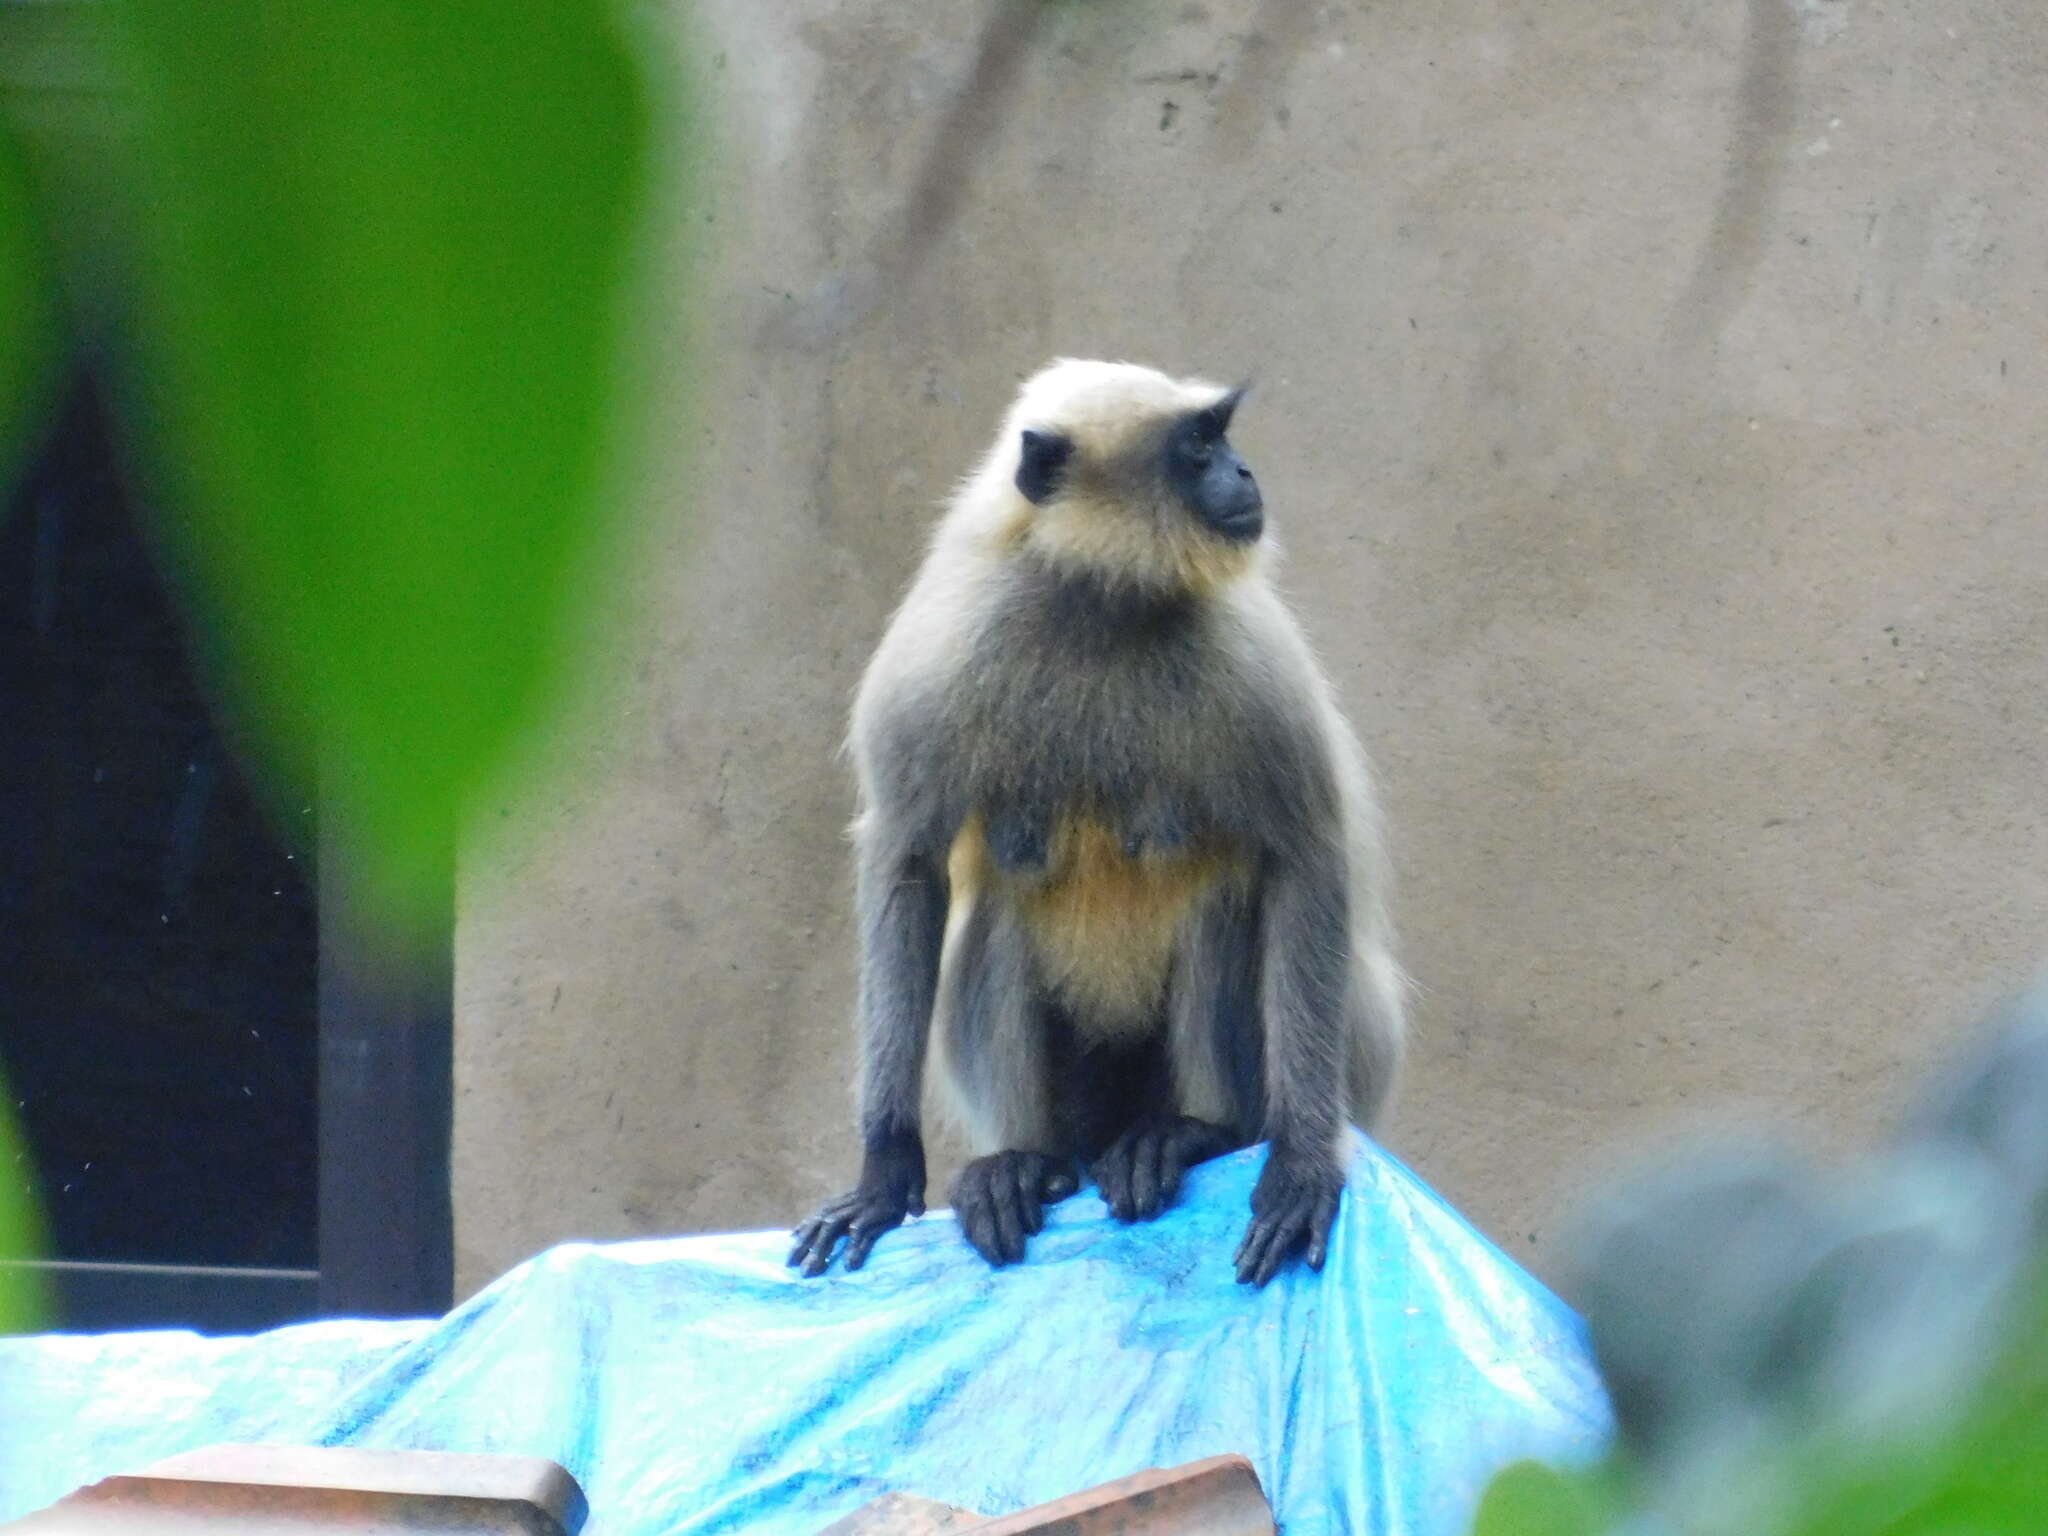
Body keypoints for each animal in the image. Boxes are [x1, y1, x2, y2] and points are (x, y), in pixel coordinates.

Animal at [786, 358, 1409, 1286]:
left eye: (1219, 436)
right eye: (1198, 447)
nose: (1244, 473)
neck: (1099, 600)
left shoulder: (1249, 660)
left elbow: (1307, 858)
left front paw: (1300, 1165)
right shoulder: (938, 655)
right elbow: (909, 861)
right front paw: (884, 1174)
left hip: (1347, 1057)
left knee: (1225, 899)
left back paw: (1195, 1135)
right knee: (1000, 921)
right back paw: (1026, 1165)